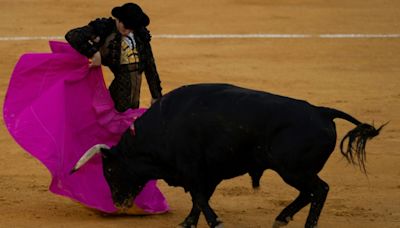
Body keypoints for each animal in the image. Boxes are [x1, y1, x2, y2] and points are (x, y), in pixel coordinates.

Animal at [71, 83, 384, 228]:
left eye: (109, 171)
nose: (118, 204)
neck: (164, 127)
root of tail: (322, 111)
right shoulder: (209, 173)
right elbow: (199, 198)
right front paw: (188, 222)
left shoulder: (193, 169)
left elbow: (199, 197)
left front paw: (215, 222)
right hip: (295, 171)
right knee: (310, 193)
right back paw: (282, 218)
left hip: (293, 170)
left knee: (319, 190)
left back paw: (302, 223)